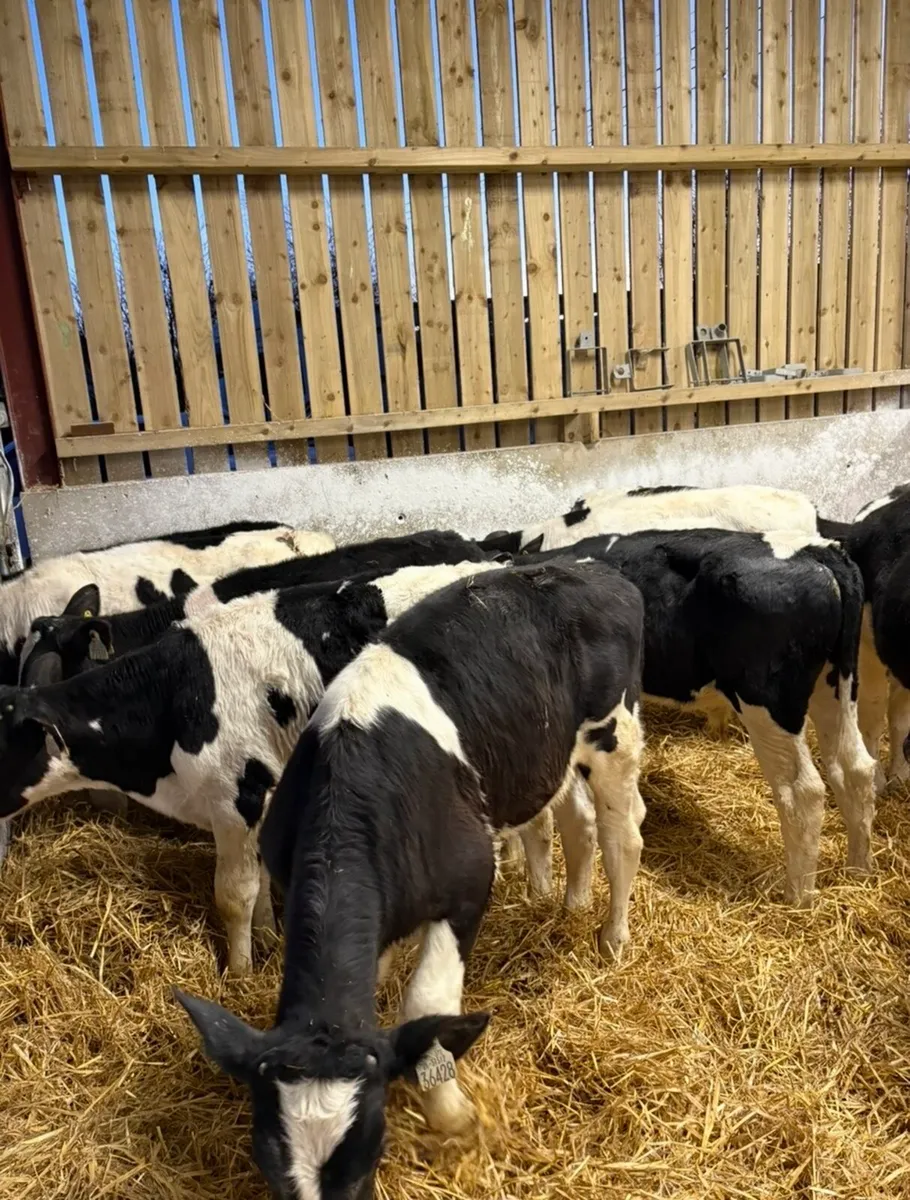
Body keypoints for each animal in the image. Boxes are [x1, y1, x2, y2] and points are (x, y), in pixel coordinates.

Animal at [0, 560, 499, 974]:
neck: (176, 695)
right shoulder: (261, 795)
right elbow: (257, 881)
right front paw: (266, 938)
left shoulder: (237, 796)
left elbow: (234, 895)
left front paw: (239, 971)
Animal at [174, 560, 645, 1200]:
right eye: (268, 1165)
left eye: (366, 1162)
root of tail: (589, 568)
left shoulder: (469, 885)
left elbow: (427, 1005)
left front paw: (452, 1114)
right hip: (552, 755)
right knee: (579, 822)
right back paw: (570, 907)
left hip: (614, 735)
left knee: (624, 835)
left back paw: (612, 939)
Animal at [518, 528, 877, 908]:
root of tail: (815, 549)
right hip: (836, 683)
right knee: (854, 768)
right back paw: (858, 870)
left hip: (768, 701)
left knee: (801, 790)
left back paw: (797, 898)